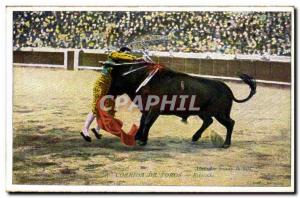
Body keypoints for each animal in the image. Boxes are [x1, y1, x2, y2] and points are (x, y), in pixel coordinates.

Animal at [106, 62, 256, 148]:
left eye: (115, 77)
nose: (107, 91)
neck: (142, 79)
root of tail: (227, 89)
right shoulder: (145, 108)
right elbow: (142, 122)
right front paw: (137, 137)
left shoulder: (154, 110)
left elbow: (147, 122)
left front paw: (142, 140)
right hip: (204, 112)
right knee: (209, 121)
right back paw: (195, 138)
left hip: (220, 113)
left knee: (230, 123)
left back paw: (225, 144)